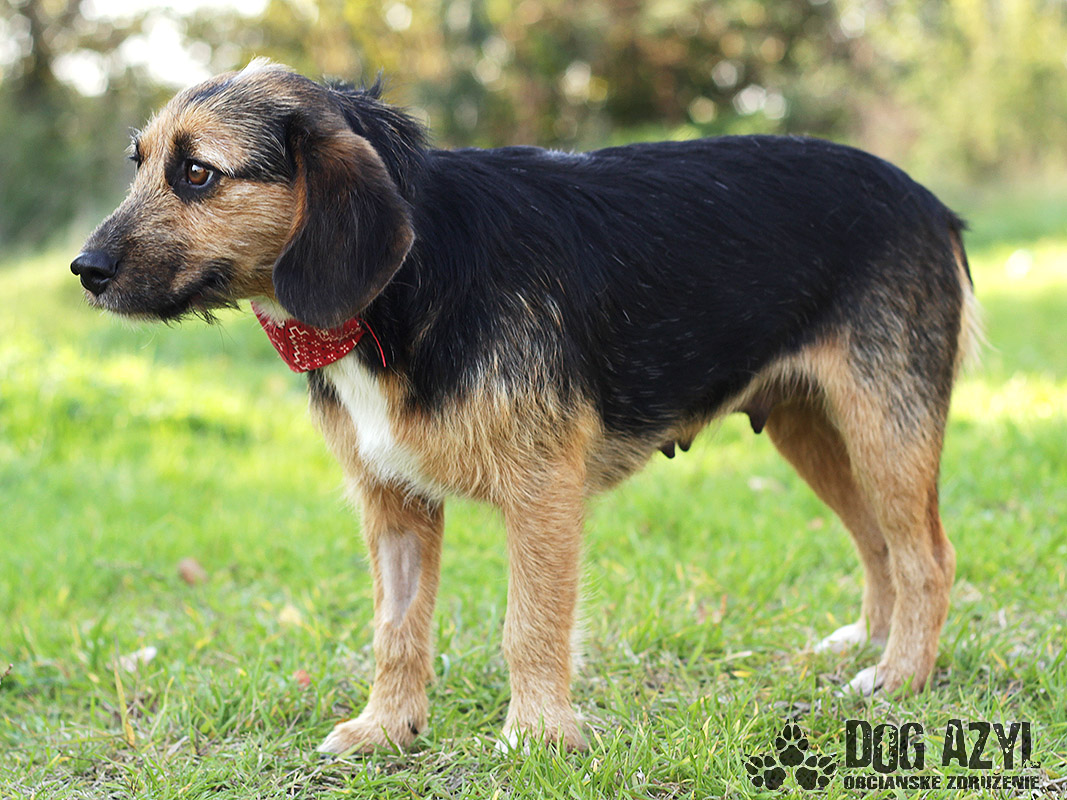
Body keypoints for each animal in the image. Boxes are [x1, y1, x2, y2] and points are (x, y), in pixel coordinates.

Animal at [72, 60, 980, 753]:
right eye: (139, 161)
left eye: (197, 172)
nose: (85, 270)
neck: (401, 288)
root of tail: (926, 199)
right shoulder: (392, 504)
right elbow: (395, 630)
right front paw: (386, 729)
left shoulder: (542, 493)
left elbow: (530, 626)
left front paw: (538, 736)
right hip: (811, 428)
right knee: (877, 543)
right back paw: (867, 642)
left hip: (885, 423)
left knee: (927, 556)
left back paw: (900, 676)